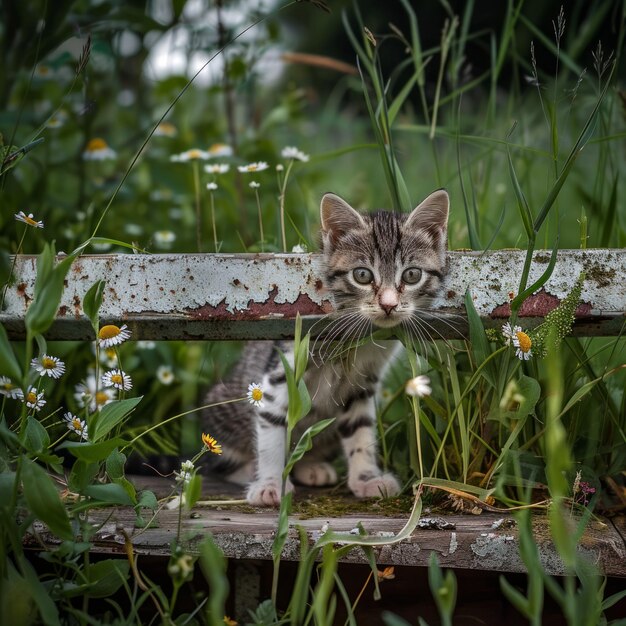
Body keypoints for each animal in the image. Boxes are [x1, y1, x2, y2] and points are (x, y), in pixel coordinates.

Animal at [200, 188, 448, 504]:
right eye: (363, 275)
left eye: (412, 275)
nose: (389, 305)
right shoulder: (282, 370)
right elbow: (271, 426)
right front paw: (269, 483)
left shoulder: (362, 384)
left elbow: (360, 429)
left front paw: (366, 478)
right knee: (219, 458)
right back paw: (249, 471)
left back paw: (311, 466)